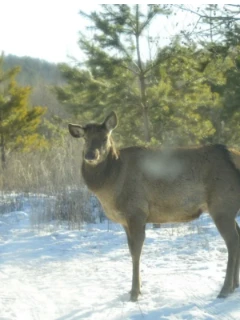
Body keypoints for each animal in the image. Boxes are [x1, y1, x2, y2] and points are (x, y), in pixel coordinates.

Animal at [68, 111, 240, 302]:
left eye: (105, 137)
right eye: (85, 138)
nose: (90, 155)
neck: (111, 185)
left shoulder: (136, 211)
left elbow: (136, 252)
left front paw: (135, 292)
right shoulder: (125, 221)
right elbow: (131, 250)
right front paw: (135, 290)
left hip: (222, 204)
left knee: (232, 241)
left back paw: (225, 289)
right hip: (227, 207)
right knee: (238, 236)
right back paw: (234, 285)